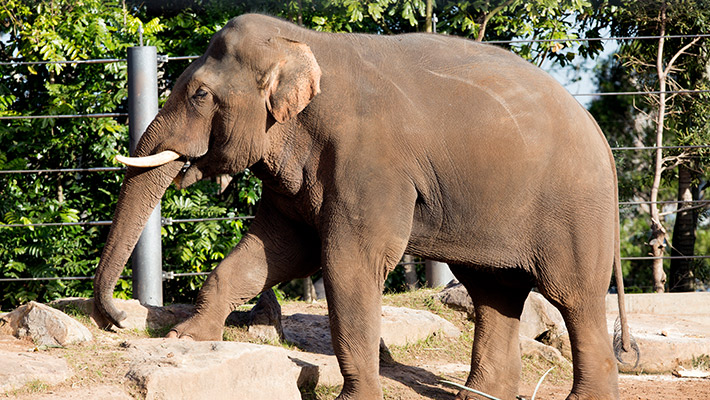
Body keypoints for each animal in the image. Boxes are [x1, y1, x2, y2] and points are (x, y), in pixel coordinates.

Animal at [93, 13, 636, 400]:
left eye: (200, 94)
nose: (119, 318)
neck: (302, 43)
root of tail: (602, 137)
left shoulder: (368, 163)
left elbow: (348, 262)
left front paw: (354, 399)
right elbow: (275, 249)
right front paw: (185, 340)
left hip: (575, 210)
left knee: (573, 297)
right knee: (493, 291)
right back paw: (477, 397)